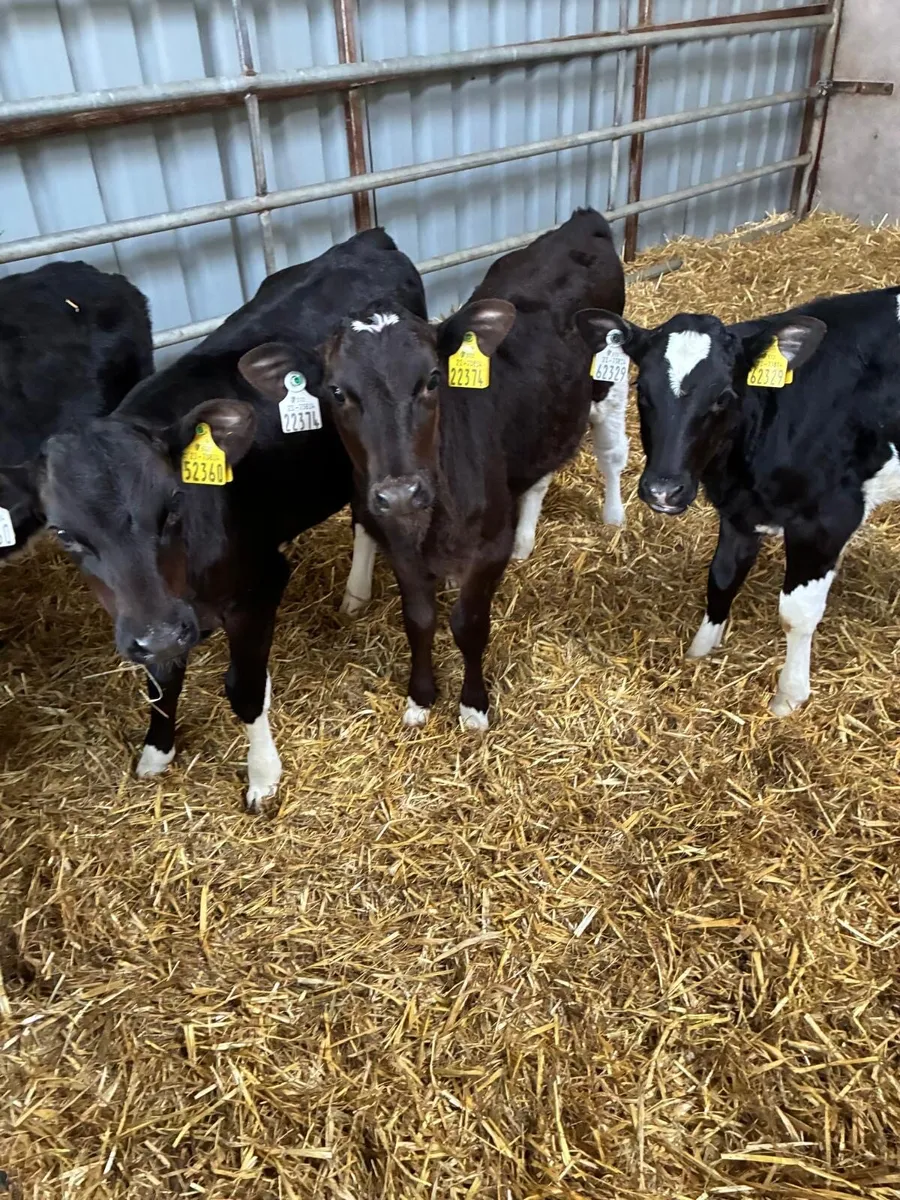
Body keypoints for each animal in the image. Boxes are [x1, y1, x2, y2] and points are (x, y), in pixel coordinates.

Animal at [36, 228, 426, 811]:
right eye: (64, 534)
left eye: (173, 503)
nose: (161, 629)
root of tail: (367, 238)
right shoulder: (153, 616)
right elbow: (160, 680)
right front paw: (157, 751)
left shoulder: (259, 587)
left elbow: (243, 690)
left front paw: (263, 777)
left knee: (364, 511)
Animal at [269, 208, 626, 730]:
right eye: (336, 392)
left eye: (433, 378)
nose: (400, 494)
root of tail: (581, 222)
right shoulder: (399, 546)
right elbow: (419, 619)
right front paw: (420, 697)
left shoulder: (489, 549)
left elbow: (469, 624)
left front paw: (473, 705)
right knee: (539, 474)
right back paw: (526, 538)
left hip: (606, 383)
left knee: (611, 448)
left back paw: (614, 514)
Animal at [577, 285, 900, 717]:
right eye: (641, 391)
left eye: (722, 397)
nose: (663, 489)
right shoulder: (738, 512)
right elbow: (722, 577)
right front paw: (699, 653)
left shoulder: (828, 518)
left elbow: (797, 613)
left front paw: (788, 697)